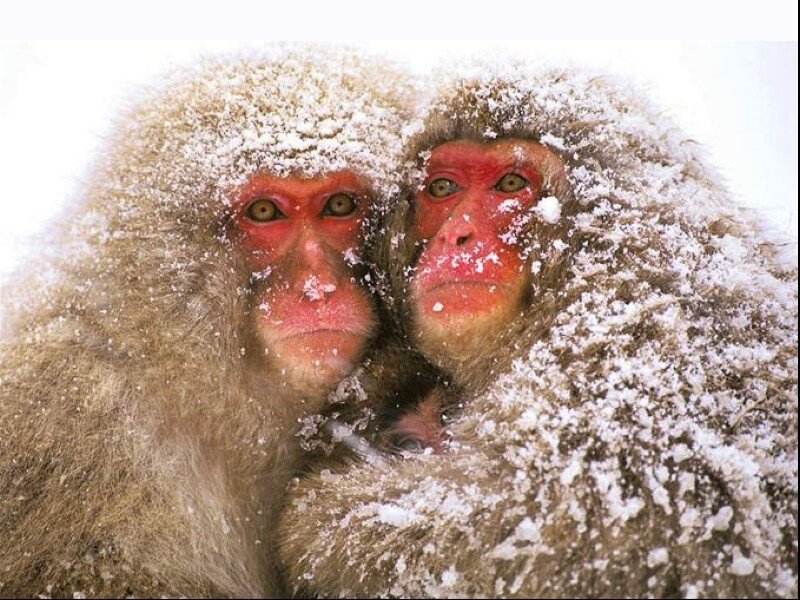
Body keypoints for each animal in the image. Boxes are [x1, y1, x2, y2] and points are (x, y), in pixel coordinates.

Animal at [278, 68, 798, 598]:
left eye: (511, 183)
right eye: (442, 188)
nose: (457, 236)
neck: (585, 248)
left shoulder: (620, 355)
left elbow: (537, 518)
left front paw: (311, 519)